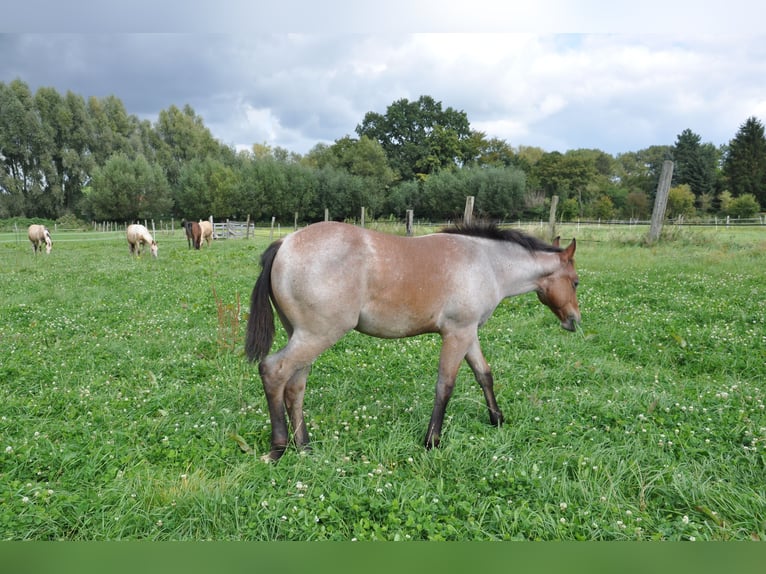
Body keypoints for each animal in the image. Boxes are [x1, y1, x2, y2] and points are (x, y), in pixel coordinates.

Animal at [245, 221, 580, 461]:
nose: (574, 320)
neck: (486, 262)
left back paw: (305, 448)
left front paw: (497, 419)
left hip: (304, 336)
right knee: (273, 371)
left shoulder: (468, 333)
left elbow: (484, 375)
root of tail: (285, 243)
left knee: (295, 386)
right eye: (576, 282)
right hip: (317, 335)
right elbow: (445, 386)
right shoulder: (456, 334)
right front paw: (432, 441)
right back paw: (278, 449)